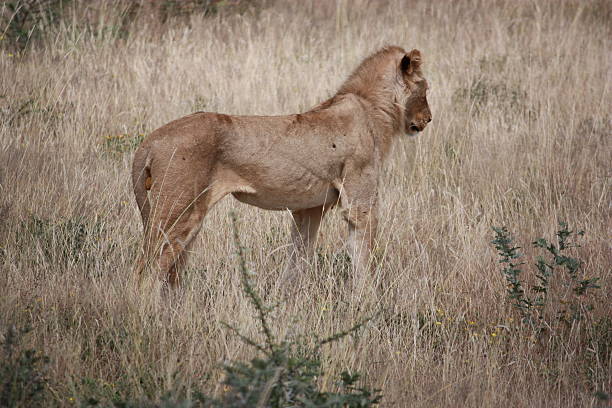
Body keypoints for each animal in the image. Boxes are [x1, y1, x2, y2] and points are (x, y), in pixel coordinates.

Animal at [132, 45, 432, 286]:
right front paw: (365, 302)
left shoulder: (310, 208)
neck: (373, 106)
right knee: (147, 271)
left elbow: (298, 260)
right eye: (426, 89)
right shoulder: (359, 203)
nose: (429, 119)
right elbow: (363, 260)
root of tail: (150, 140)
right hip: (177, 212)